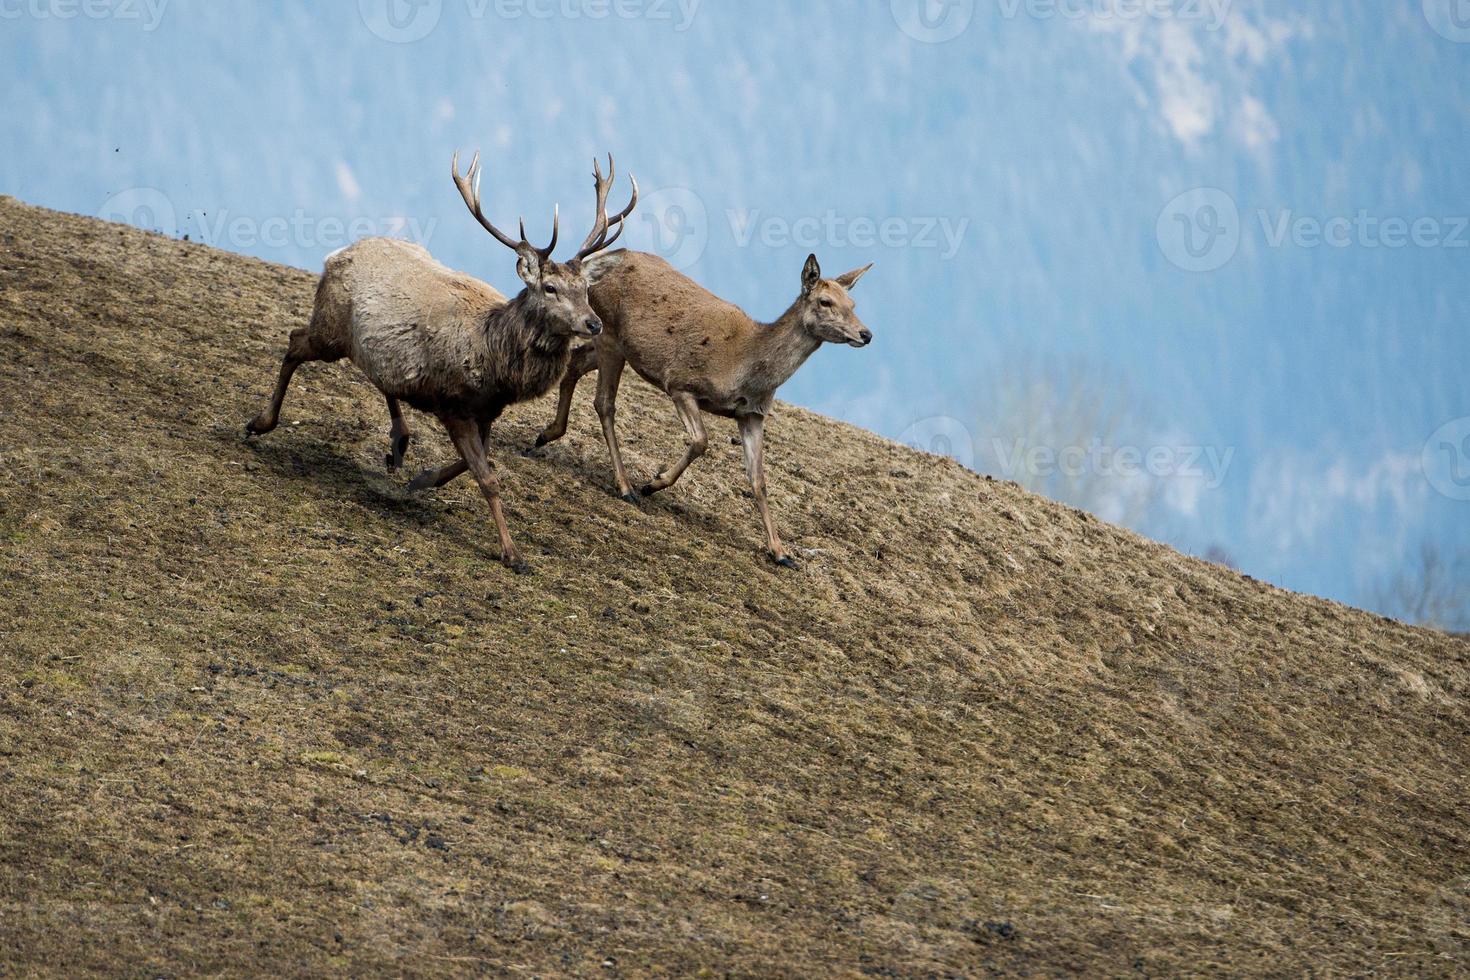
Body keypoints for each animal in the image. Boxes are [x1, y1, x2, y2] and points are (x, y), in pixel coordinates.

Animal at [248, 149, 637, 570]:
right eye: (550, 287)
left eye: (585, 288)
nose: (594, 323)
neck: (496, 363)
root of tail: (337, 253)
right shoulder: (454, 405)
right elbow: (487, 477)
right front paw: (512, 553)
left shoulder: (486, 412)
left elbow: (475, 464)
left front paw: (421, 479)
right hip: (330, 329)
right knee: (294, 341)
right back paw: (260, 422)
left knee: (382, 377)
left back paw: (398, 443)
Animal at [535, 249, 864, 567]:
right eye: (825, 301)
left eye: (852, 303)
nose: (866, 334)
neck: (745, 368)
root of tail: (588, 265)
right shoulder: (681, 384)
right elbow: (700, 441)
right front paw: (653, 483)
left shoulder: (752, 415)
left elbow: (758, 480)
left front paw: (781, 553)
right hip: (609, 334)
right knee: (604, 402)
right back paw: (626, 487)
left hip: (615, 346)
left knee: (575, 364)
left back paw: (546, 435)